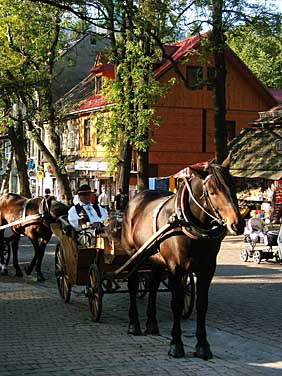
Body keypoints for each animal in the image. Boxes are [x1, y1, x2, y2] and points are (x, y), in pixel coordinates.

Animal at [121, 160, 245, 360]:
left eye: (234, 186)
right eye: (212, 192)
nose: (238, 224)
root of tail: (135, 199)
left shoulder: (207, 269)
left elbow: (202, 304)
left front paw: (203, 345)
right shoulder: (176, 268)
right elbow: (177, 304)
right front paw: (176, 344)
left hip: (156, 259)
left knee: (153, 285)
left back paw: (151, 323)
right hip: (133, 253)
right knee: (133, 285)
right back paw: (134, 324)